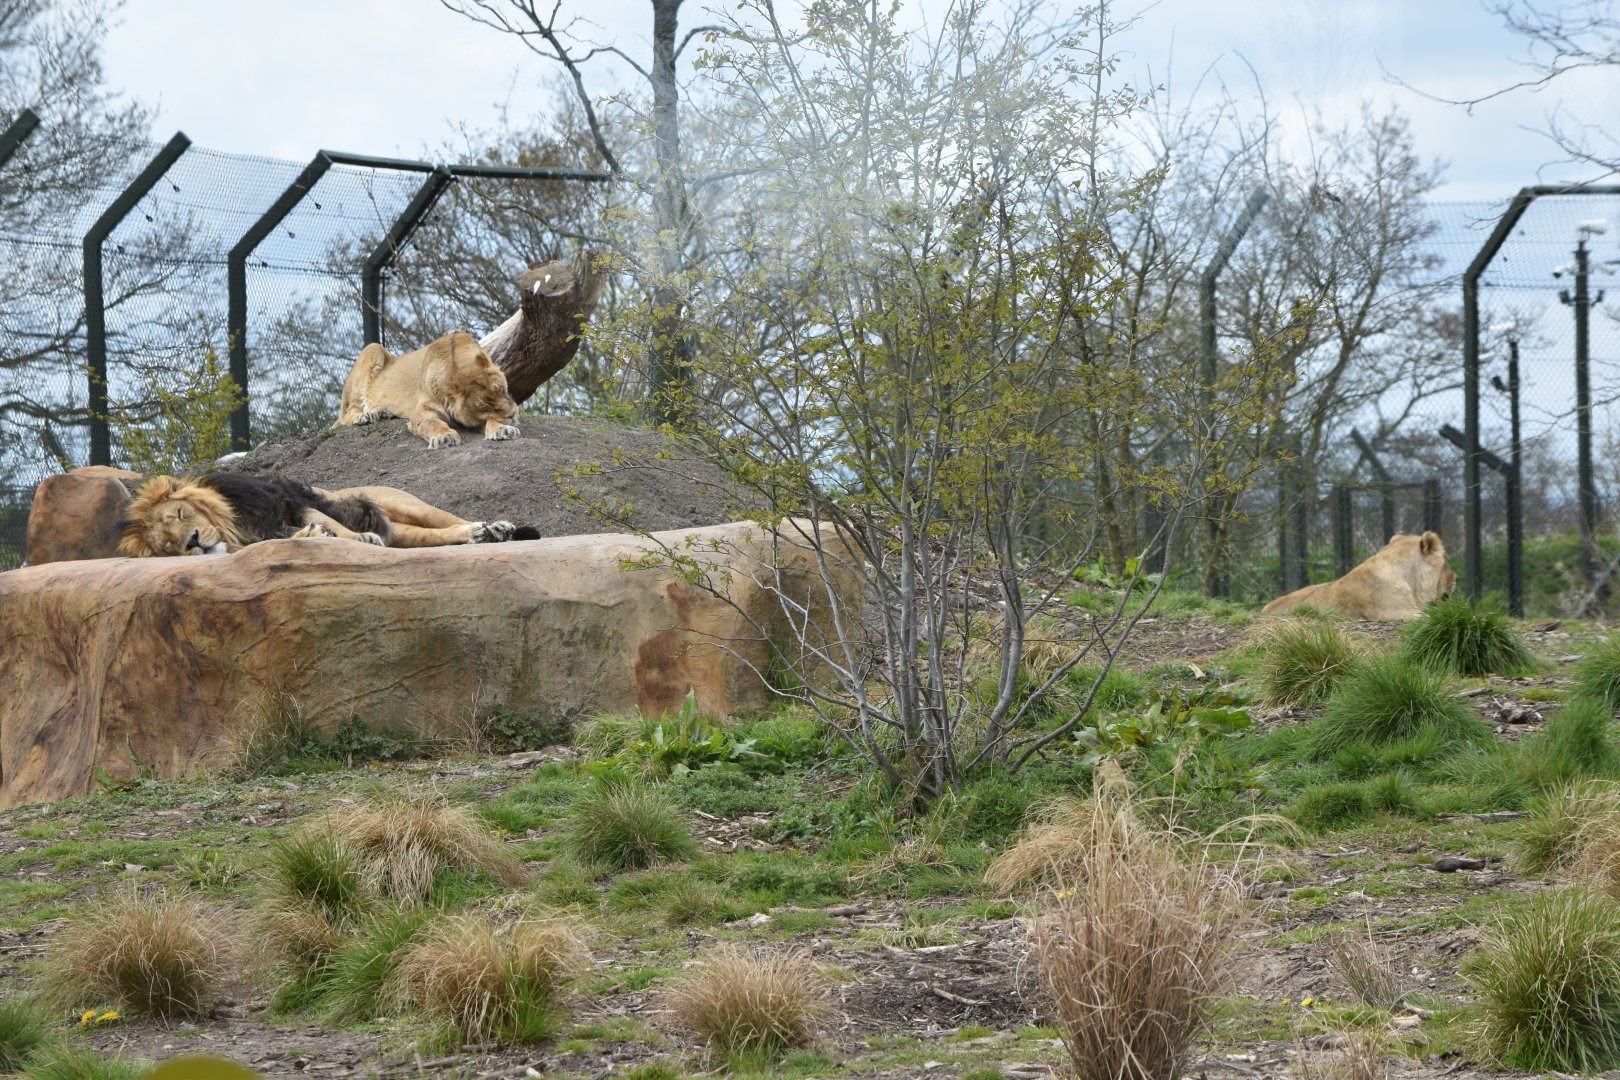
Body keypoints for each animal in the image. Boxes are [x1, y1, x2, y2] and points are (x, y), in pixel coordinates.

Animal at [335, 329, 520, 449]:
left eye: (501, 390)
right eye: (484, 406)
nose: (513, 415)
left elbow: (495, 420)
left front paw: (503, 429)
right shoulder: (423, 410)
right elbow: (431, 423)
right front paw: (444, 437)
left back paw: (382, 413)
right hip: (372, 349)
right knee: (348, 413)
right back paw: (364, 416)